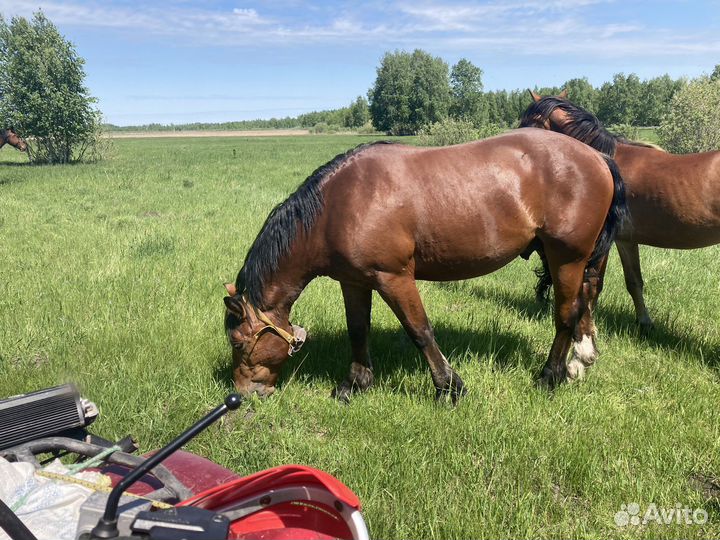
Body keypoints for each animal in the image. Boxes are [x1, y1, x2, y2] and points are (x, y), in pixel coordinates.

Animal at [223, 129, 628, 401]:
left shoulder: (394, 277)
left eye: (239, 342)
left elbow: (420, 331)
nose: (242, 395)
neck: (338, 205)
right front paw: (354, 384)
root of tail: (599, 158)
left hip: (566, 257)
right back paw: (579, 362)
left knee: (566, 315)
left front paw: (449, 388)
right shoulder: (354, 281)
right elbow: (358, 331)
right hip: (565, 257)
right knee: (584, 302)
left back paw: (549, 376)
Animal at [520, 89, 720, 329]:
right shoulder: (626, 240)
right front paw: (644, 322)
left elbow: (595, 283)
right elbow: (634, 282)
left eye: (528, 121)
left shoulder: (604, 240)